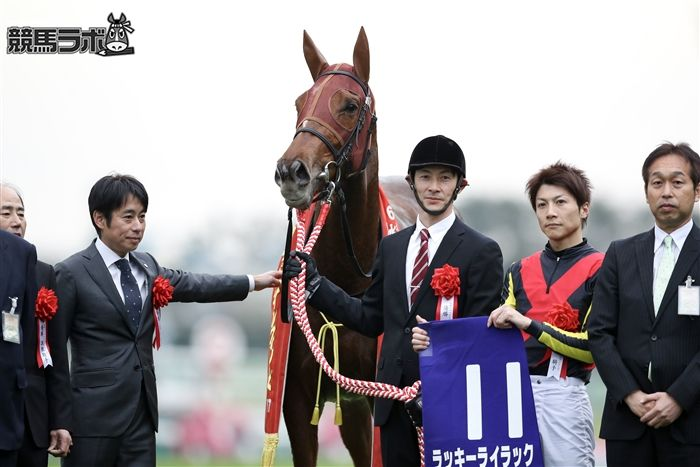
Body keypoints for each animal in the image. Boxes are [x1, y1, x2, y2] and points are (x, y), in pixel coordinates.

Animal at [274, 28, 418, 466]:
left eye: (350, 106)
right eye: (300, 102)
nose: (291, 171)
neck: (348, 279)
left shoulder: (382, 398)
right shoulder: (298, 401)